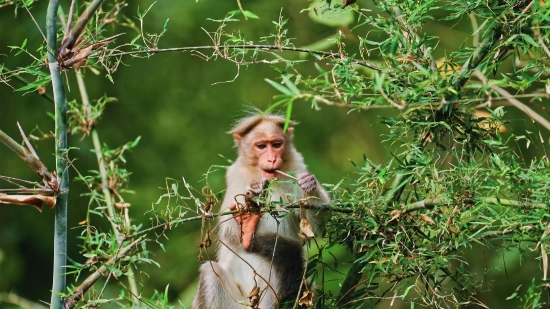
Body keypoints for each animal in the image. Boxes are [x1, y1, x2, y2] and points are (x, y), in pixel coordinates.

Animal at [194, 113, 332, 308]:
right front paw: (253, 199)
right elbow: (228, 230)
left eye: (276, 144)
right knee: (210, 272)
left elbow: (315, 224)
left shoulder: (297, 166)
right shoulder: (236, 175)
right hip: (237, 302)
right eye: (261, 146)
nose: (272, 159)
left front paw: (309, 184)